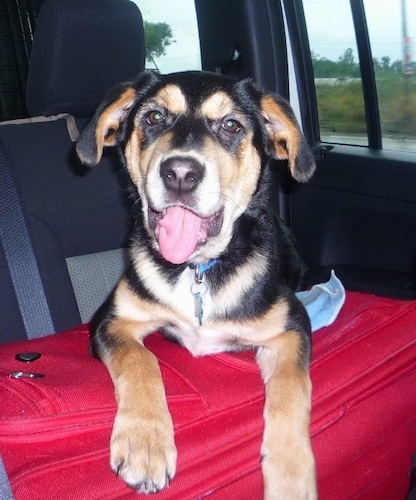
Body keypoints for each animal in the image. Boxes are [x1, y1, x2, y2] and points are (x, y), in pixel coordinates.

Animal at [76, 71, 316, 500]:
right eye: (154, 117)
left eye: (232, 125)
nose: (180, 174)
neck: (196, 269)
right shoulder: (111, 319)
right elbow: (141, 360)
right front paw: (145, 444)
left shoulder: (292, 326)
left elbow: (292, 386)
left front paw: (292, 476)